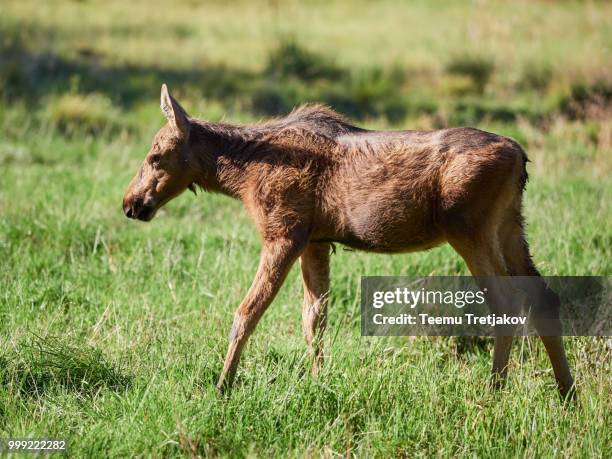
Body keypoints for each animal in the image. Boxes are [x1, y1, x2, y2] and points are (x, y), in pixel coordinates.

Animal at [123, 85, 572, 398]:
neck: (241, 176)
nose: (130, 203)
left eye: (155, 156)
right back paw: (567, 394)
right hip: (510, 226)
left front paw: (222, 386)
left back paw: (494, 391)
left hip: (468, 228)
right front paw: (317, 380)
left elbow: (247, 313)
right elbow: (314, 319)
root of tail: (521, 158)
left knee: (507, 303)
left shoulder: (284, 231)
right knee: (544, 296)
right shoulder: (316, 241)